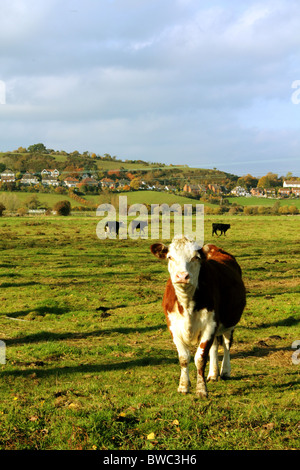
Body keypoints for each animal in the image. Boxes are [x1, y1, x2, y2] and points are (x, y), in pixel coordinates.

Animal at [150, 235, 246, 396]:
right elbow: (184, 358)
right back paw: (213, 374)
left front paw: (201, 390)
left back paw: (225, 371)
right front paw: (183, 386)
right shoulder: (174, 327)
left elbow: (200, 358)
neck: (187, 304)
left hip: (229, 323)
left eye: (196, 257)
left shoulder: (210, 325)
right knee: (215, 346)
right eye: (170, 257)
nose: (182, 276)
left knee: (226, 344)